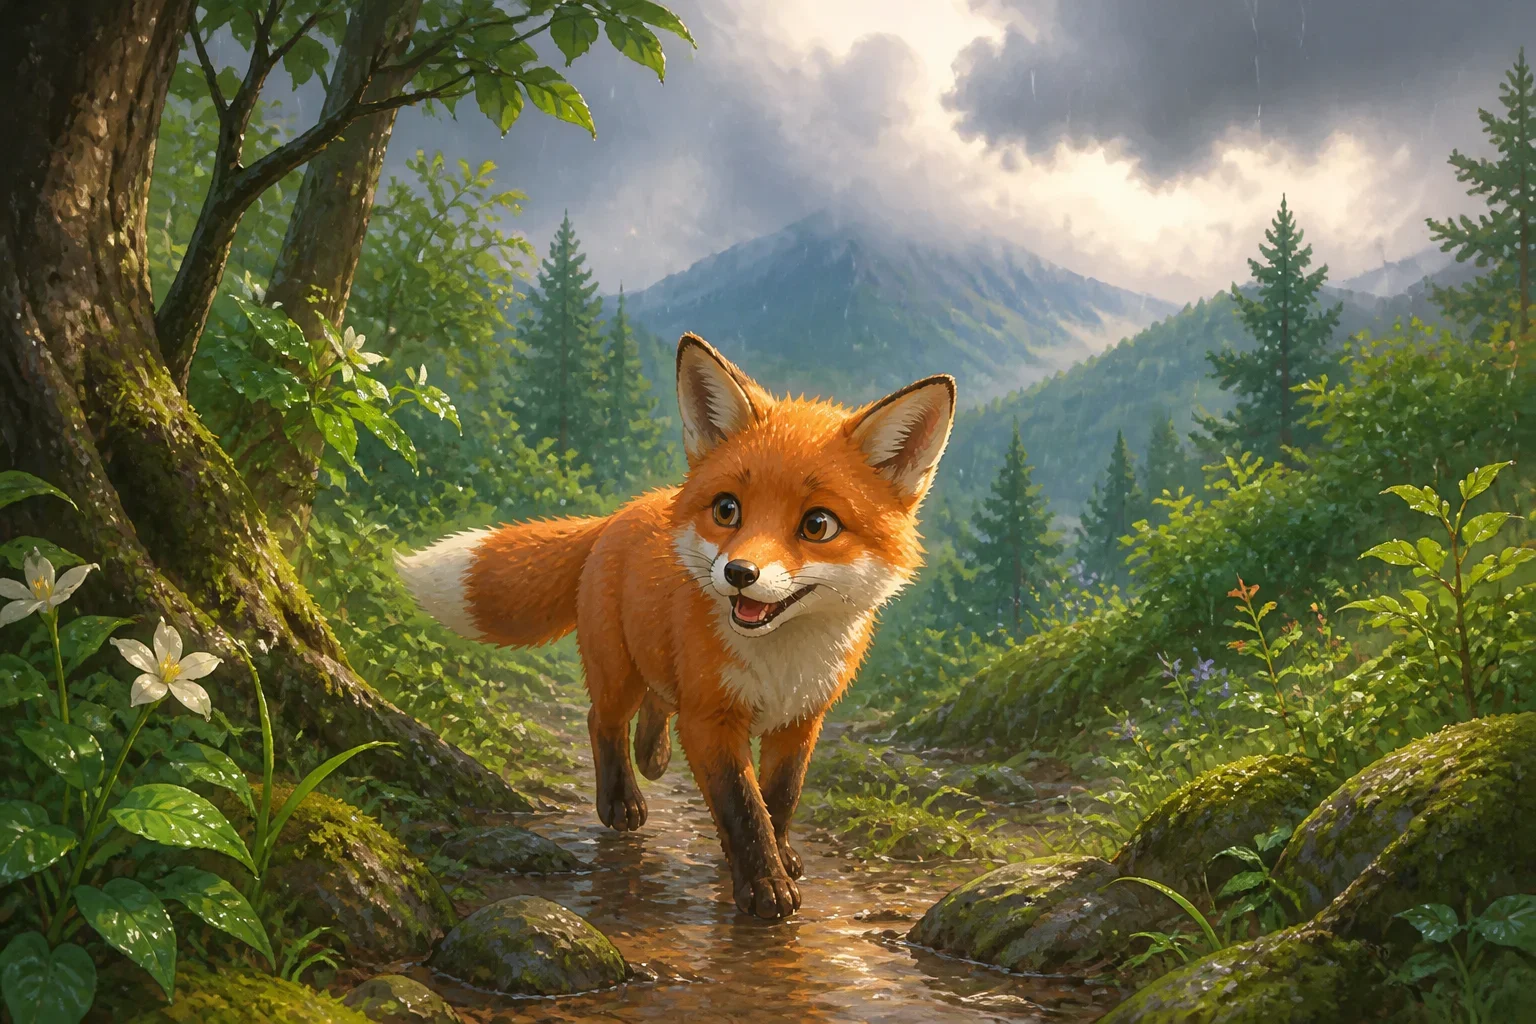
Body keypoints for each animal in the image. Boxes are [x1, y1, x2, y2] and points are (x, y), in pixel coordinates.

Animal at [394, 333, 955, 920]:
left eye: (817, 525)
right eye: (728, 510)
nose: (738, 573)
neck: (779, 660)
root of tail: (622, 513)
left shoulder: (802, 721)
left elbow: (779, 800)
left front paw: (778, 856)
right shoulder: (711, 719)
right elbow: (742, 807)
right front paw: (765, 886)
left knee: (655, 701)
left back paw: (653, 753)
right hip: (615, 674)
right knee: (602, 720)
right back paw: (620, 800)